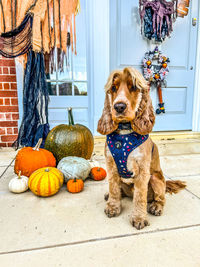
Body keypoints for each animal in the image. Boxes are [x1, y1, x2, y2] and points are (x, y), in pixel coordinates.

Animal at [97, 66, 185, 230]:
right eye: (113, 88)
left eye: (133, 87)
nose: (118, 106)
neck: (124, 133)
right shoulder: (111, 165)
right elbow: (113, 188)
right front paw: (113, 206)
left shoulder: (142, 171)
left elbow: (140, 197)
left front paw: (139, 218)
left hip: (156, 179)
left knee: (161, 198)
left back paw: (156, 207)